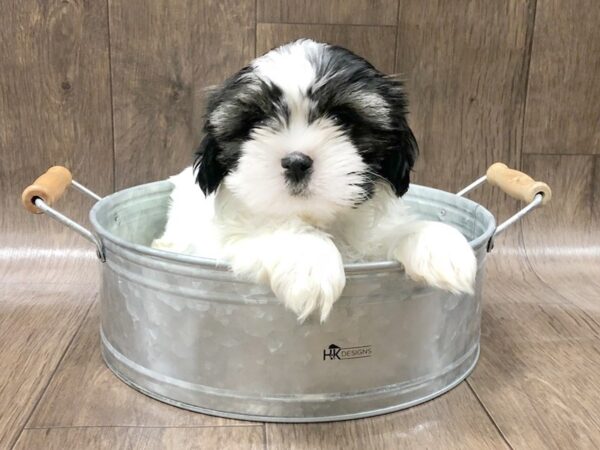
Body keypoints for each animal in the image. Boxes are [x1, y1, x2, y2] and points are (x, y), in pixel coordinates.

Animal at [152, 37, 476, 320]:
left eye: (343, 118)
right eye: (257, 121)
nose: (296, 162)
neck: (317, 218)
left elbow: (392, 232)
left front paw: (437, 243)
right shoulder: (215, 244)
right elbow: (266, 231)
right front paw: (309, 259)